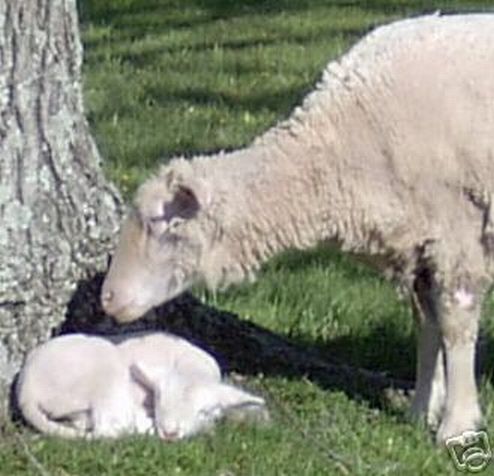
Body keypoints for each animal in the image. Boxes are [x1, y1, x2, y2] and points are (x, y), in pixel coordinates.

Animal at [17, 330, 268, 438]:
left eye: (203, 411)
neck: (188, 366)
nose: (169, 433)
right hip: (105, 370)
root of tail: (26, 390)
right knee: (109, 428)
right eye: (158, 401)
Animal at [99, 13, 494, 442]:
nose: (107, 298)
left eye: (163, 225)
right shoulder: (417, 243)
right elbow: (427, 323)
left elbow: (455, 322)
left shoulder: (455, 232)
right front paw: (421, 410)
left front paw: (457, 425)